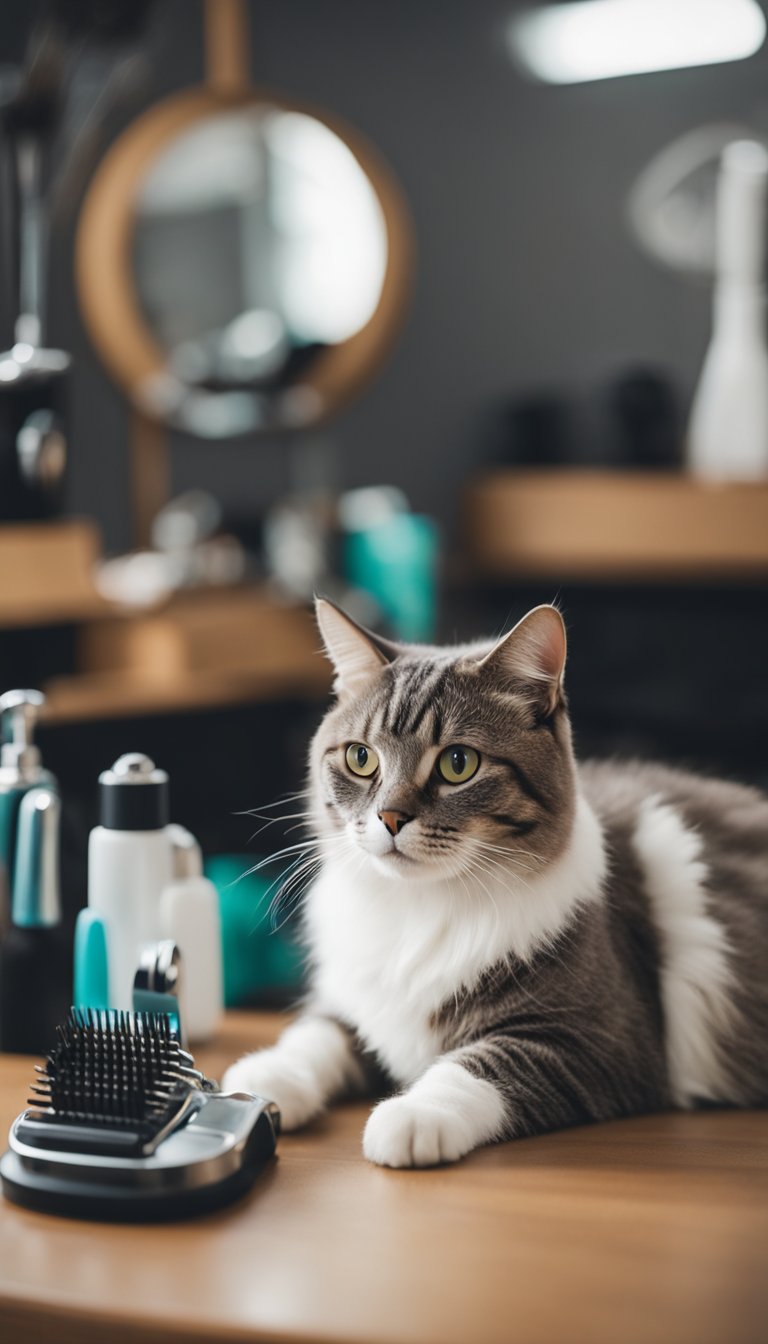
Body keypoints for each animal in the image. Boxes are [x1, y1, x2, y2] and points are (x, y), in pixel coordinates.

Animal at [221, 599, 768, 1166]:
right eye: (360, 757)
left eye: (458, 763)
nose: (389, 818)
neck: (419, 907)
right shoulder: (360, 999)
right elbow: (318, 1033)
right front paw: (266, 1075)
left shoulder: (601, 1041)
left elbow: (477, 1066)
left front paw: (414, 1114)